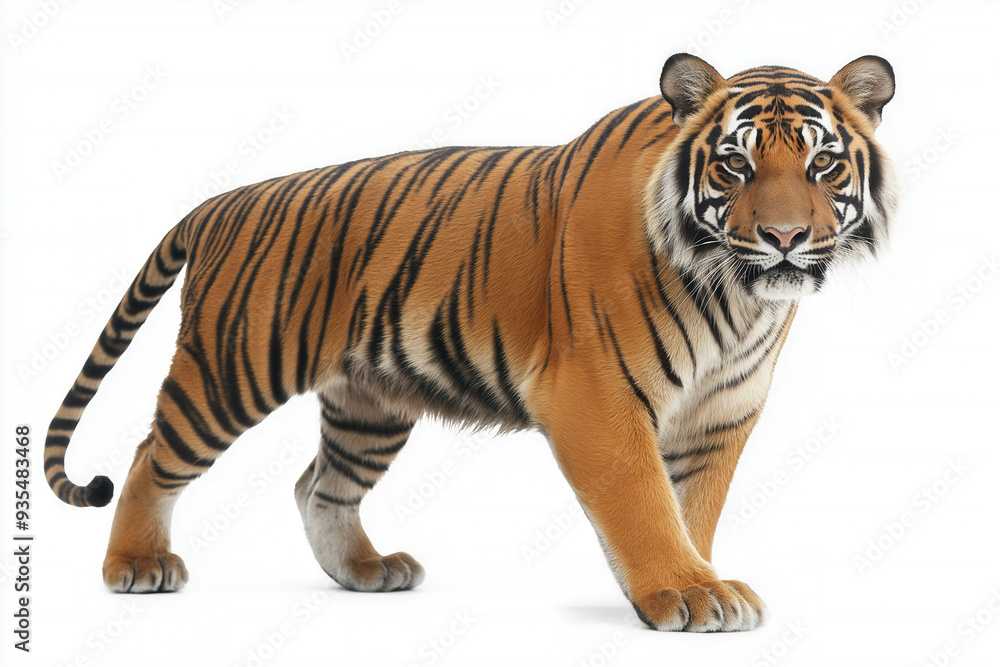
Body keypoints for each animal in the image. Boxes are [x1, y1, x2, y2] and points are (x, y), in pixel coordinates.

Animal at [45, 52, 897, 632]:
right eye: (734, 163)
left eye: (823, 162)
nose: (784, 237)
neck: (738, 297)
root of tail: (222, 200)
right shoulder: (598, 399)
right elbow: (646, 502)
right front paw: (686, 590)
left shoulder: (722, 414)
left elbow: (692, 507)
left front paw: (682, 582)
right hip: (232, 371)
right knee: (150, 457)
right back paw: (136, 565)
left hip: (369, 402)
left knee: (320, 484)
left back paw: (366, 570)